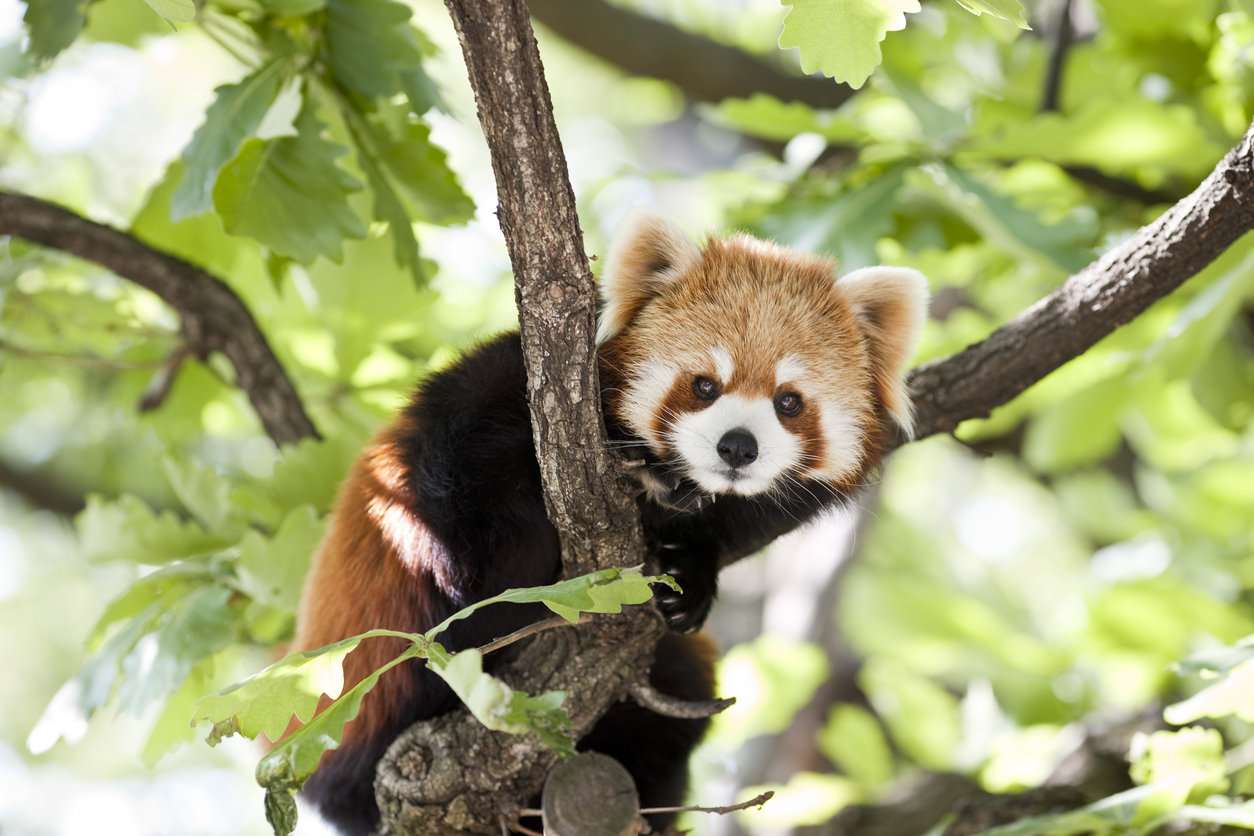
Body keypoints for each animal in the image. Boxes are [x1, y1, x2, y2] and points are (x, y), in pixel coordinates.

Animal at [288, 210, 927, 836]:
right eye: (704, 386)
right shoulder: (474, 422)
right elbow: (467, 503)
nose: (738, 446)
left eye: (788, 401)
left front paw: (689, 576)